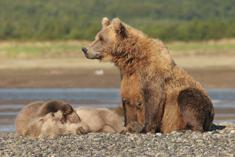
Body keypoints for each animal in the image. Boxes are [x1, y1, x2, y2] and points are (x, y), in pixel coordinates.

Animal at [81, 17, 215, 134]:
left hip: (199, 102)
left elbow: (153, 98)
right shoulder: (128, 78)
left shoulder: (152, 74)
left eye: (101, 38)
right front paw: (127, 127)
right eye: (96, 37)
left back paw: (186, 128)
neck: (132, 60)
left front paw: (145, 128)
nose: (85, 49)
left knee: (188, 98)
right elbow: (128, 100)